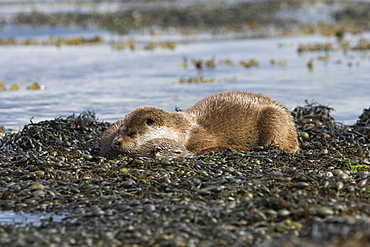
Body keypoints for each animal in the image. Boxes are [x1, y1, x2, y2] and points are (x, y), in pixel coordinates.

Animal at [99, 91, 300, 158]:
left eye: (132, 133)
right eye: (120, 130)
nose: (116, 142)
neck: (183, 130)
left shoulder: (201, 138)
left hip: (273, 117)